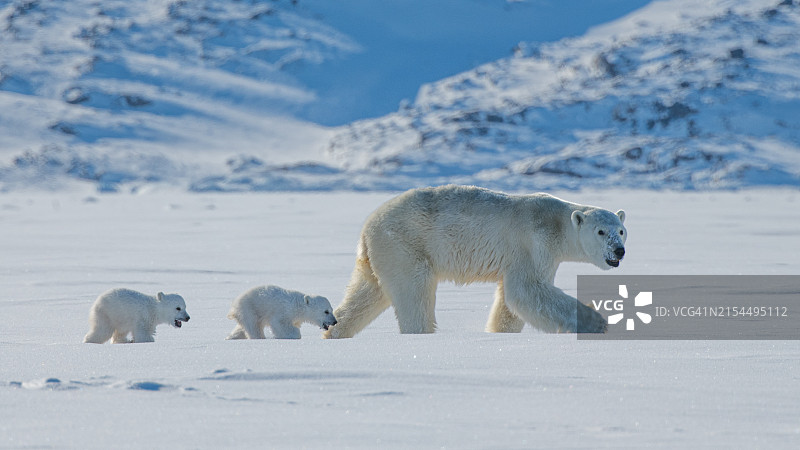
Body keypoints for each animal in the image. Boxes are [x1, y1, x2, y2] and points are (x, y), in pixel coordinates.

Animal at [324, 185, 624, 340]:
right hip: (405, 245)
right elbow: (527, 291)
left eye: (621, 230)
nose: (619, 251)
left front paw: (498, 332)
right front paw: (597, 322)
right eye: (601, 232)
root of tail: (367, 229)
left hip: (380, 255)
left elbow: (510, 304)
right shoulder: (532, 244)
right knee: (414, 294)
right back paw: (421, 333)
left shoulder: (539, 256)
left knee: (367, 292)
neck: (557, 223)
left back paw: (334, 330)